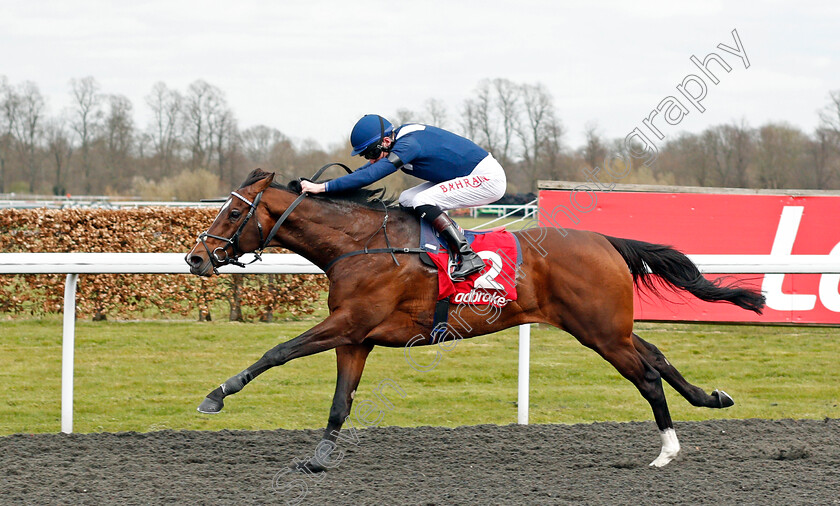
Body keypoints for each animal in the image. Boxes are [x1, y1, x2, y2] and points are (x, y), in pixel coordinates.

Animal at [187, 169, 764, 470]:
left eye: (234, 213)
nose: (195, 258)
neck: (360, 245)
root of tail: (605, 241)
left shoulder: (348, 324)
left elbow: (277, 352)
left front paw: (216, 394)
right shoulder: (356, 337)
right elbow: (340, 402)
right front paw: (319, 458)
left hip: (599, 332)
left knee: (645, 375)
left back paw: (667, 451)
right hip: (609, 327)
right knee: (657, 356)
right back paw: (712, 398)